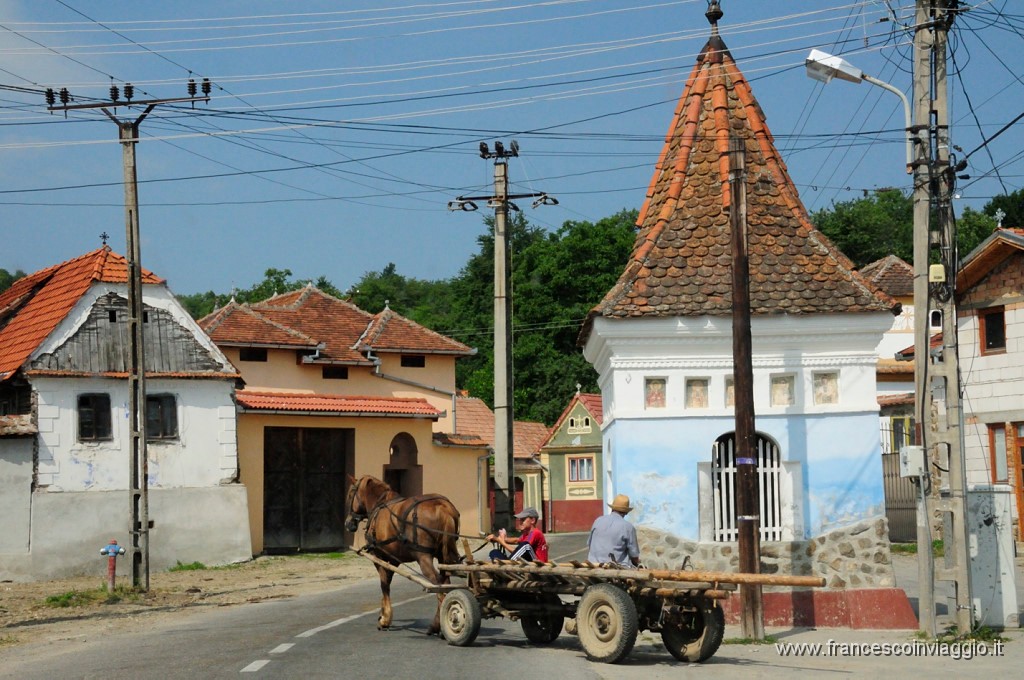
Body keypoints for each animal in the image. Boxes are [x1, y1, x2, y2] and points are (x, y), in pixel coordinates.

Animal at [344, 475, 460, 634]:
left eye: (350, 494)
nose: (348, 523)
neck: (380, 504)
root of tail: (442, 507)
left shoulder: (378, 556)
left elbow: (384, 584)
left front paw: (385, 619)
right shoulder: (393, 560)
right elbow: (387, 581)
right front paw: (383, 614)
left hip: (424, 558)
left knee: (437, 585)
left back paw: (440, 625)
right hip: (443, 558)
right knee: (446, 583)